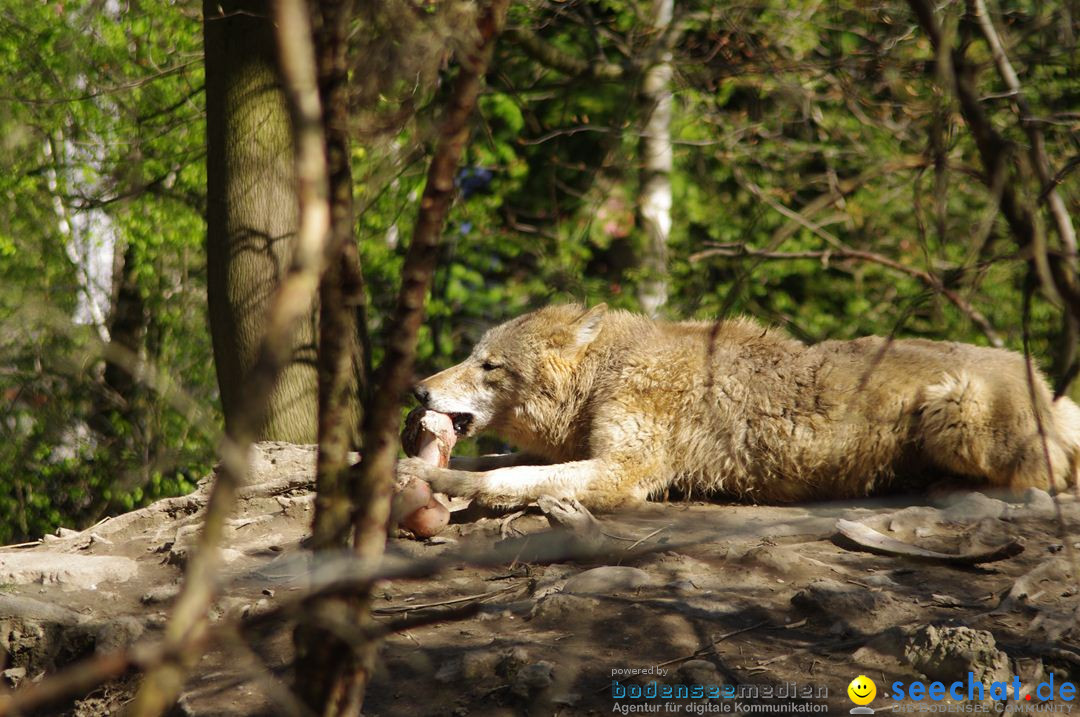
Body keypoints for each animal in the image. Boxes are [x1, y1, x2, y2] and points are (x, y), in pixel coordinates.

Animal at [399, 302, 1080, 509]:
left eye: (489, 366)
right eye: (471, 356)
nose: (418, 392)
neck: (608, 374)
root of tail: (1045, 385)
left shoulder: (623, 473)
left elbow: (506, 478)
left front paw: (438, 479)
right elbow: (498, 464)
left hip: (953, 405)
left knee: (1048, 478)